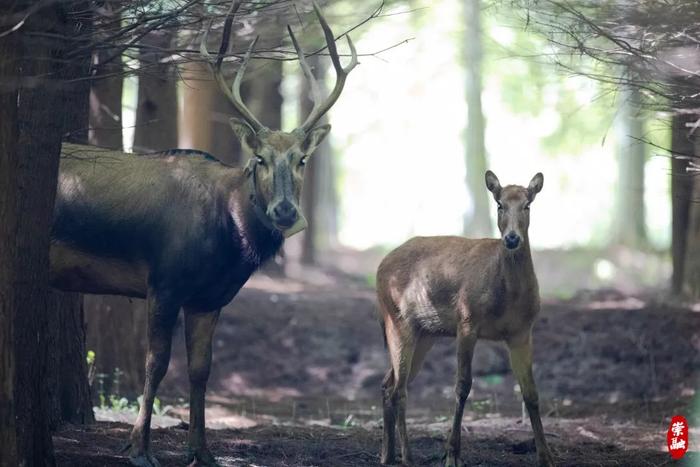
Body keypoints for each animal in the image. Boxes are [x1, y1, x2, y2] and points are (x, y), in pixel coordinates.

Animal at [51, 1, 356, 466]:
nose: (285, 211)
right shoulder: (163, 281)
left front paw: (201, 451)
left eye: (302, 159)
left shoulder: (209, 298)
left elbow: (201, 369)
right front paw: (138, 448)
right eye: (260, 159)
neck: (229, 244)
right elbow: (157, 364)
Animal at [374, 172, 556, 467]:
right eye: (499, 204)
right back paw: (407, 456)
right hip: (396, 320)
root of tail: (380, 267)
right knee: (399, 389)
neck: (507, 296)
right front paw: (452, 455)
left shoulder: (521, 332)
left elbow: (531, 392)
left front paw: (546, 457)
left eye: (527, 205)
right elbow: (462, 386)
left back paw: (386, 454)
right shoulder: (467, 320)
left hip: (425, 334)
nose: (512, 238)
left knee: (387, 383)